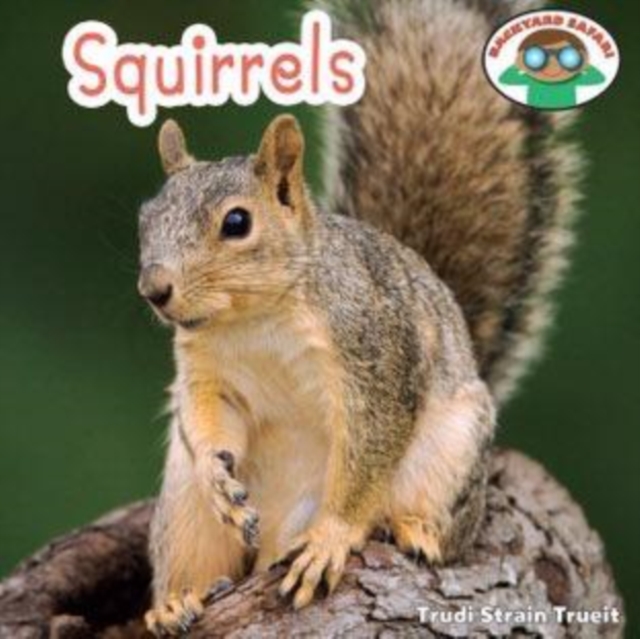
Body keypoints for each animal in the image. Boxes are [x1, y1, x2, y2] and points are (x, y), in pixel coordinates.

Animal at [138, 0, 580, 635]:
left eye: (237, 222)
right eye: (146, 219)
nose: (154, 290)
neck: (255, 320)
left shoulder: (374, 353)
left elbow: (369, 450)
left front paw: (331, 538)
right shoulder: (207, 372)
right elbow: (206, 421)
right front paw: (216, 475)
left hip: (450, 455)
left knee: (441, 527)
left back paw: (411, 530)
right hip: (183, 515)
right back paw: (177, 601)